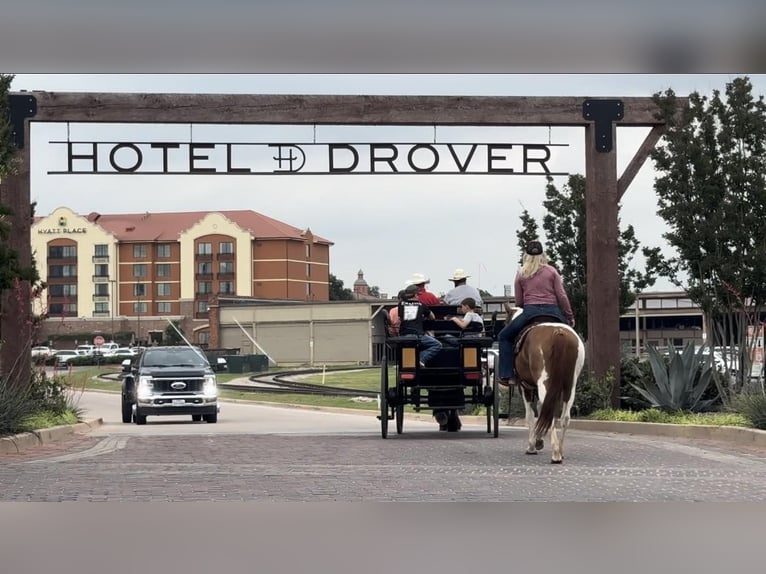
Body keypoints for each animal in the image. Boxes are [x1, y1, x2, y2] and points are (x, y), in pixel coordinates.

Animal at [504, 304, 588, 466]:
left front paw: (532, 446)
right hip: (570, 385)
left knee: (550, 412)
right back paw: (560, 451)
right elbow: (540, 410)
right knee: (563, 417)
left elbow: (530, 415)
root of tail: (558, 332)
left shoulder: (525, 387)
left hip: (545, 383)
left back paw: (555, 454)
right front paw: (538, 440)